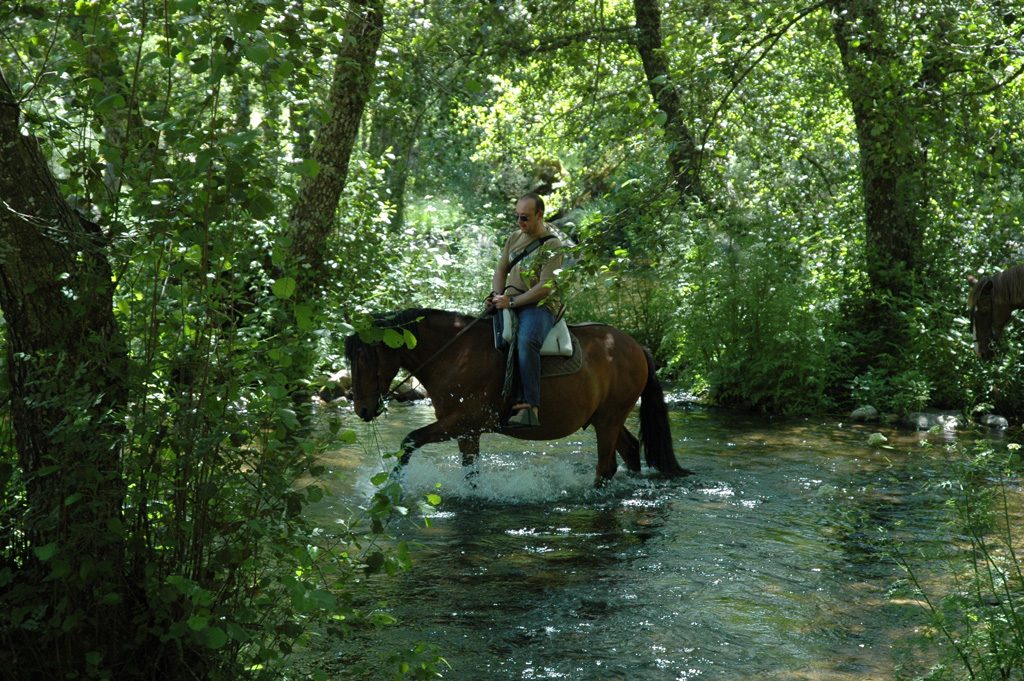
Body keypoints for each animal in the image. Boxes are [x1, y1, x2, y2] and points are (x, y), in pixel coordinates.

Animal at [342, 307, 688, 483]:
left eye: (365, 358)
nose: (362, 409)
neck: (455, 353)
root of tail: (637, 346)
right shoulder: (466, 431)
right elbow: (470, 472)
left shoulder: (464, 421)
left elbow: (410, 440)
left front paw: (390, 491)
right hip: (606, 417)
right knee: (629, 450)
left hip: (609, 418)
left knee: (607, 466)